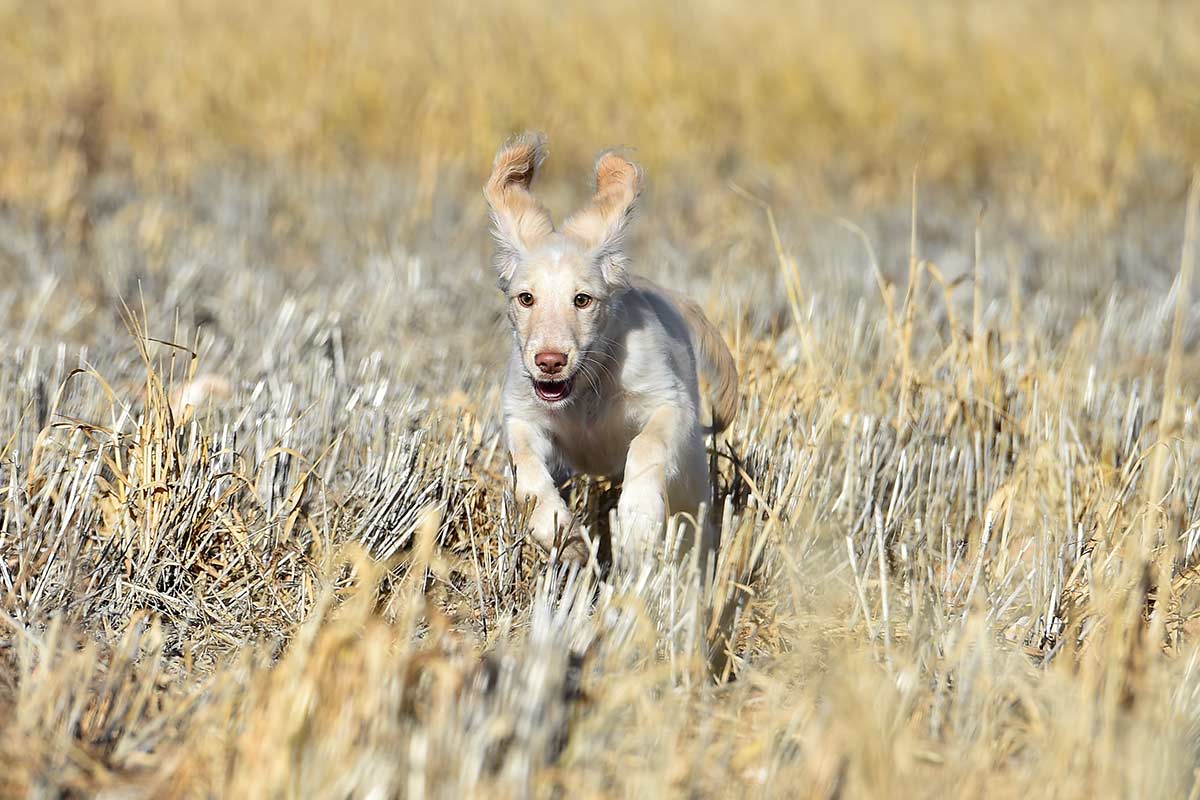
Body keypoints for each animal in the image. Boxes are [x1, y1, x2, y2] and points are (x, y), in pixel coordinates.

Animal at [482, 131, 734, 561]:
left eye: (582, 300)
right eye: (526, 298)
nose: (550, 362)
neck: (586, 389)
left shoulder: (671, 404)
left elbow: (647, 446)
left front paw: (638, 522)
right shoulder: (522, 416)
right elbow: (526, 472)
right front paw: (561, 532)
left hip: (692, 483)